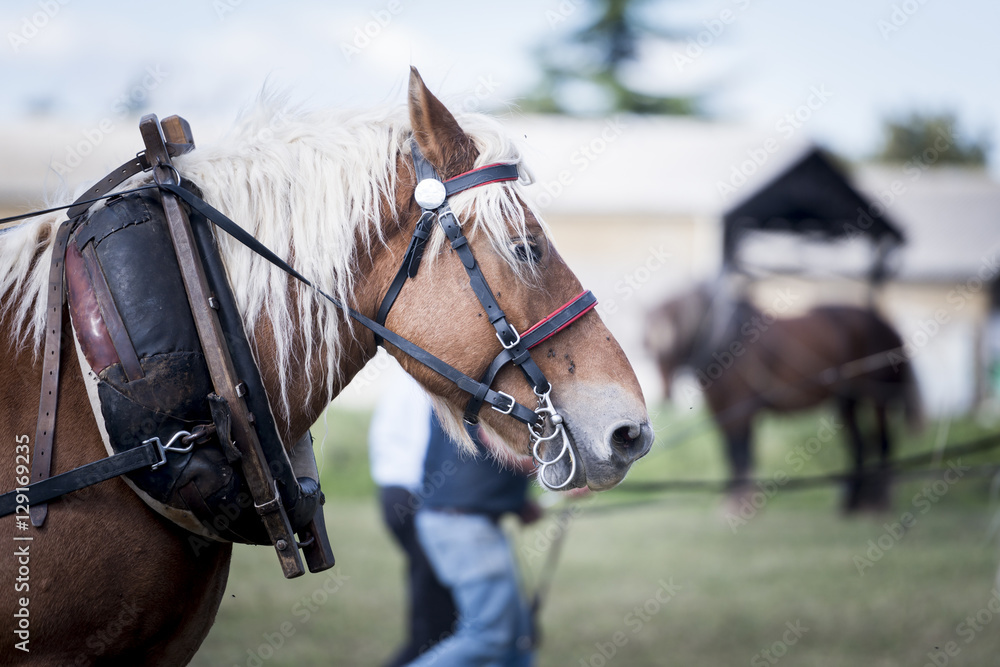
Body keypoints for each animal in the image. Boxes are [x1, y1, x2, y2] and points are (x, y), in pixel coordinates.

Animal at [644, 281, 921, 512]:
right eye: (649, 349)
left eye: (669, 344)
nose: (665, 394)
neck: (727, 341)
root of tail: (888, 326)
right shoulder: (722, 409)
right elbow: (732, 452)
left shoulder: (740, 407)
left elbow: (741, 453)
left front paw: (739, 502)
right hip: (847, 401)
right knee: (859, 444)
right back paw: (853, 502)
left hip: (878, 397)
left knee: (883, 441)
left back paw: (878, 501)